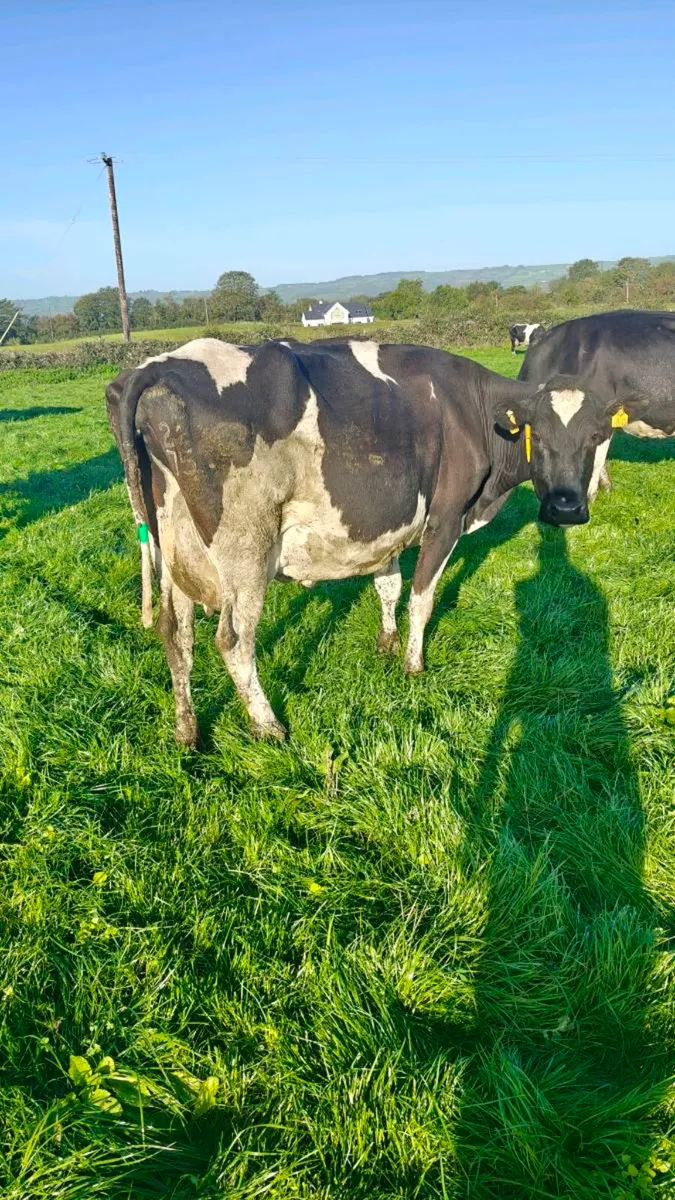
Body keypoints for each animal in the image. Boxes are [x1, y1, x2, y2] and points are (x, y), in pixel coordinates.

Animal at [106, 337, 641, 745]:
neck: (474, 410)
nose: (567, 509)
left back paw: (187, 731)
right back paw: (268, 725)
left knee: (176, 634)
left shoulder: (385, 524)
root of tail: (155, 367)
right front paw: (412, 663)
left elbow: (389, 585)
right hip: (246, 547)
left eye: (595, 438)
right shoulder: (445, 519)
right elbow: (422, 598)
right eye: (540, 436)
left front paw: (386, 643)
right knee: (234, 639)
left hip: (176, 548)